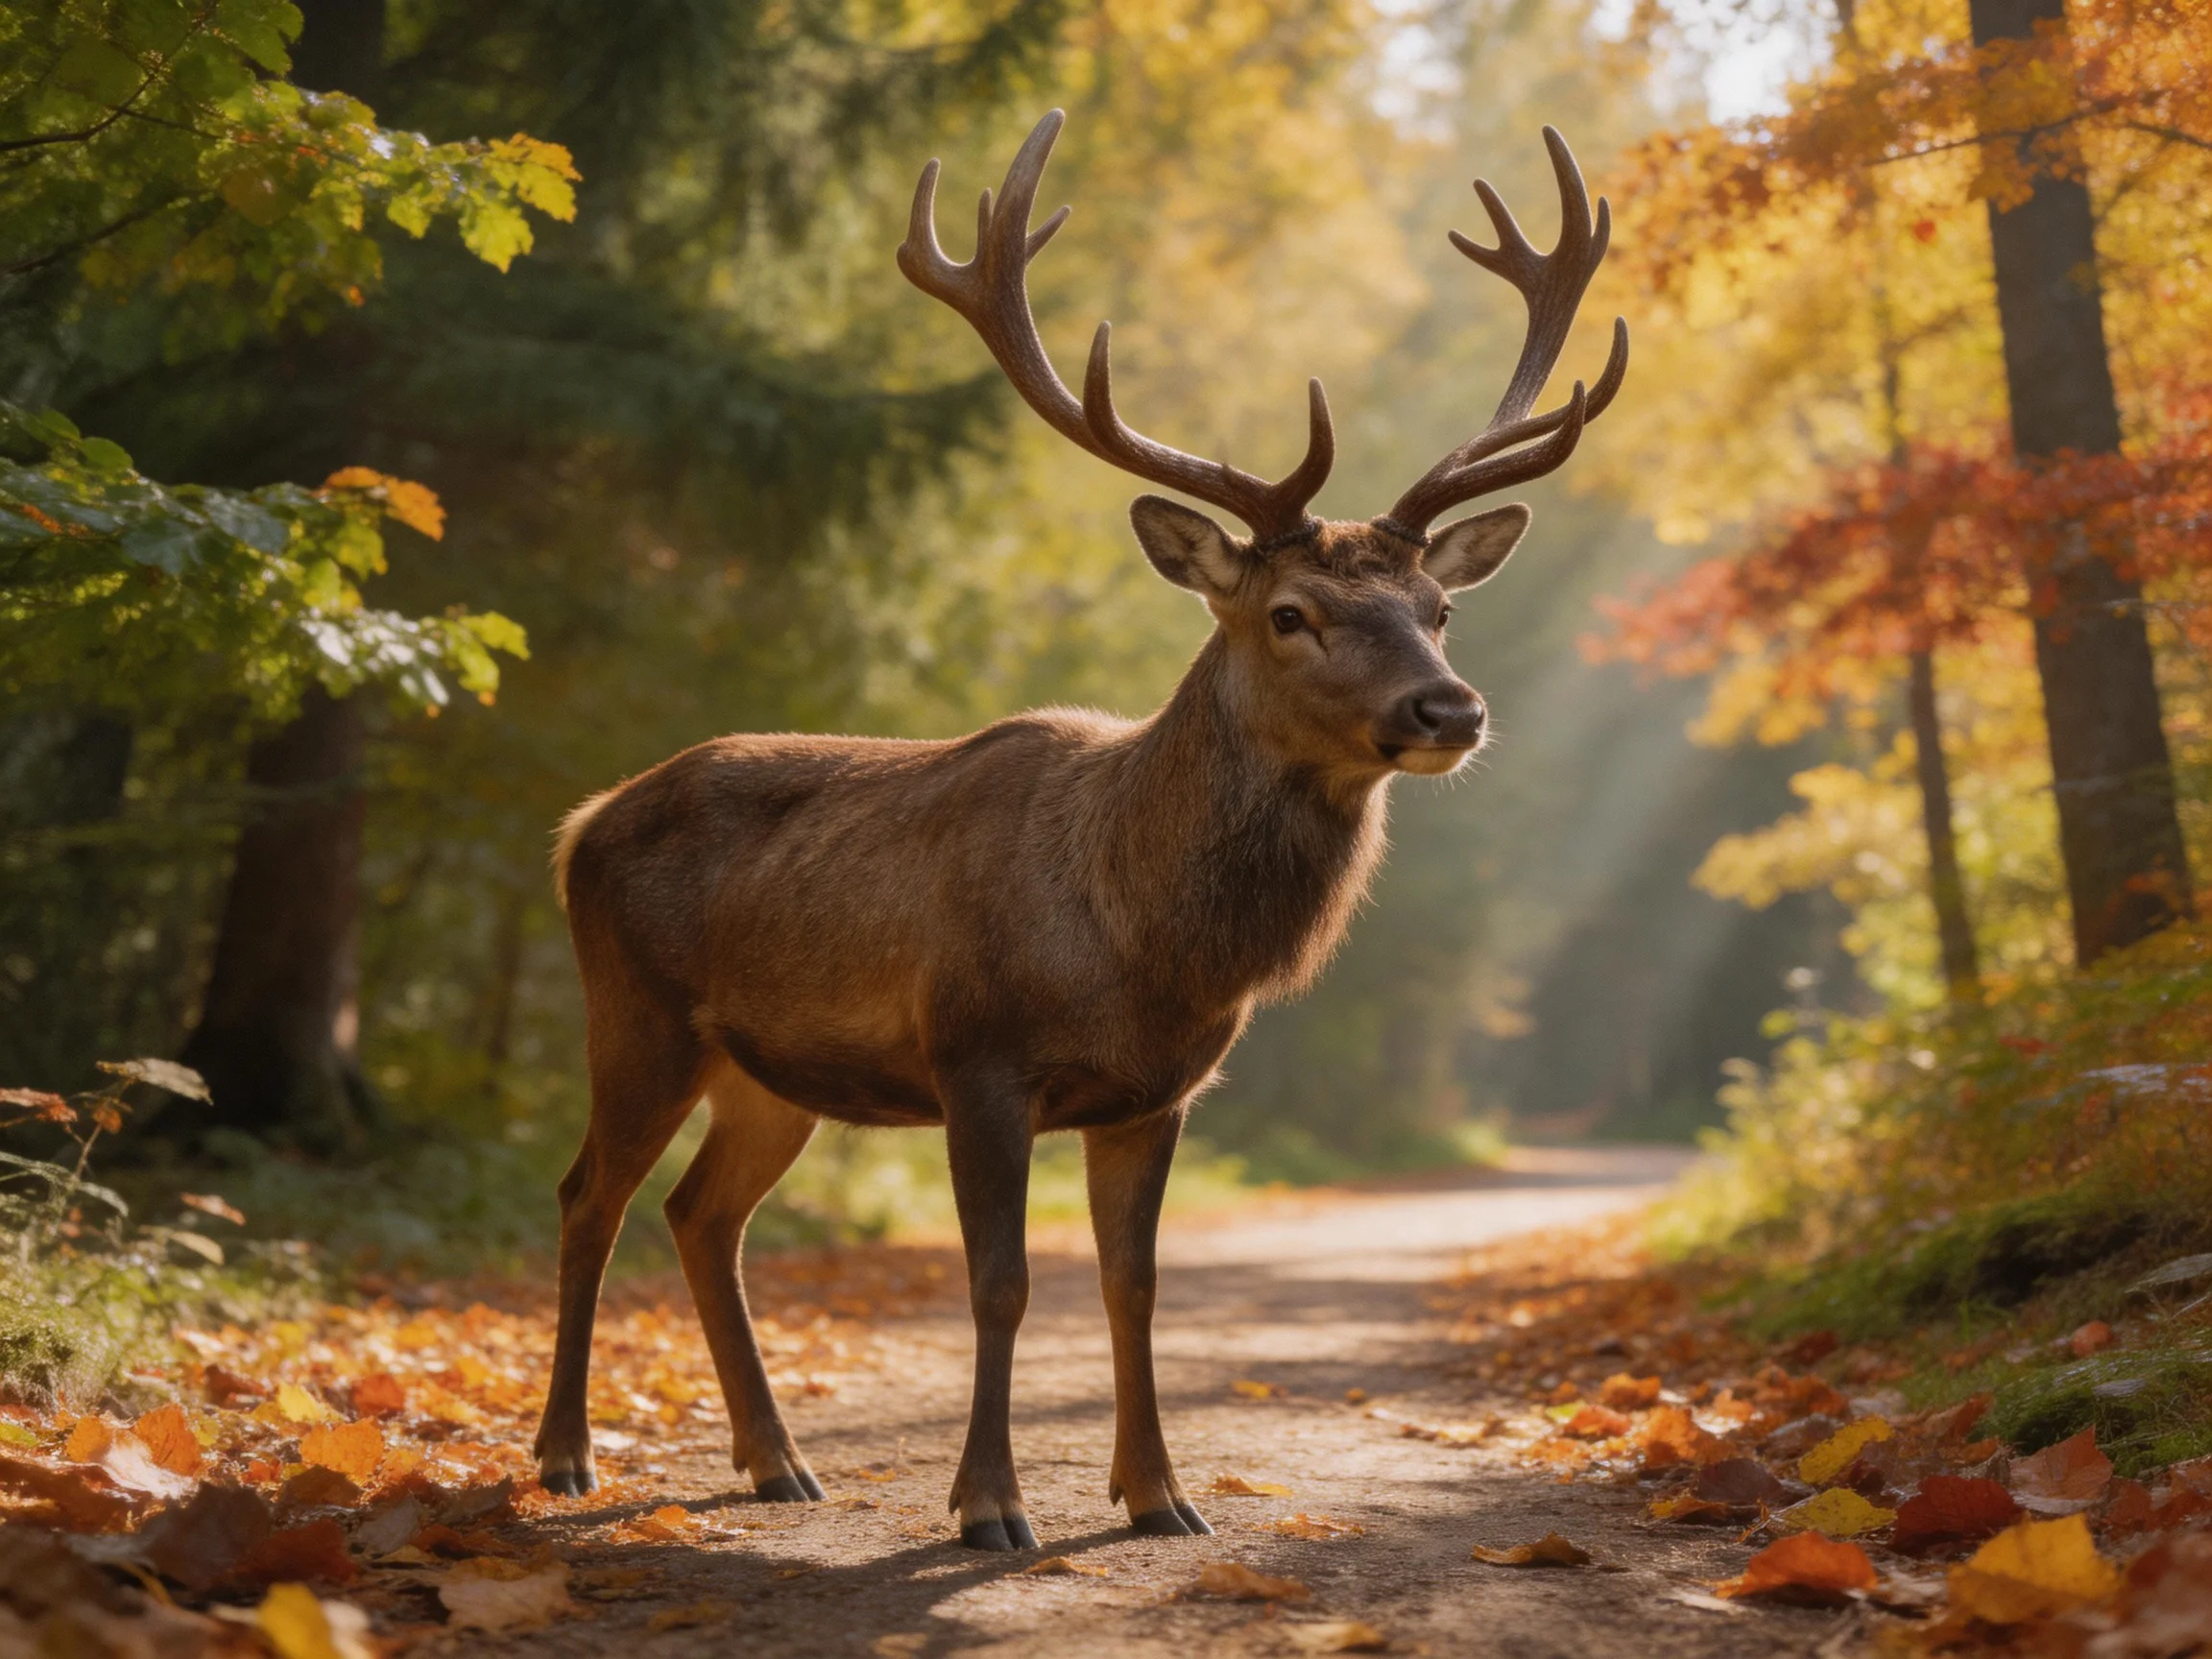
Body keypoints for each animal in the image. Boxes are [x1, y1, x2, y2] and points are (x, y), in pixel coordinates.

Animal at [532, 109, 1626, 1549]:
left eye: (1440, 607)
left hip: (768, 1071)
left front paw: (1160, 1495)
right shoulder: (976, 1056)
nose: (1451, 707)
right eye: (1291, 615)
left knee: (701, 1213)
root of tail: (580, 823)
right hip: (636, 1013)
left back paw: (777, 1462)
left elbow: (1132, 1285)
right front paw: (991, 1507)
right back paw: (564, 1456)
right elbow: (1000, 1285)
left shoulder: (1158, 1093)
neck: (1137, 939)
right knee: (587, 1196)